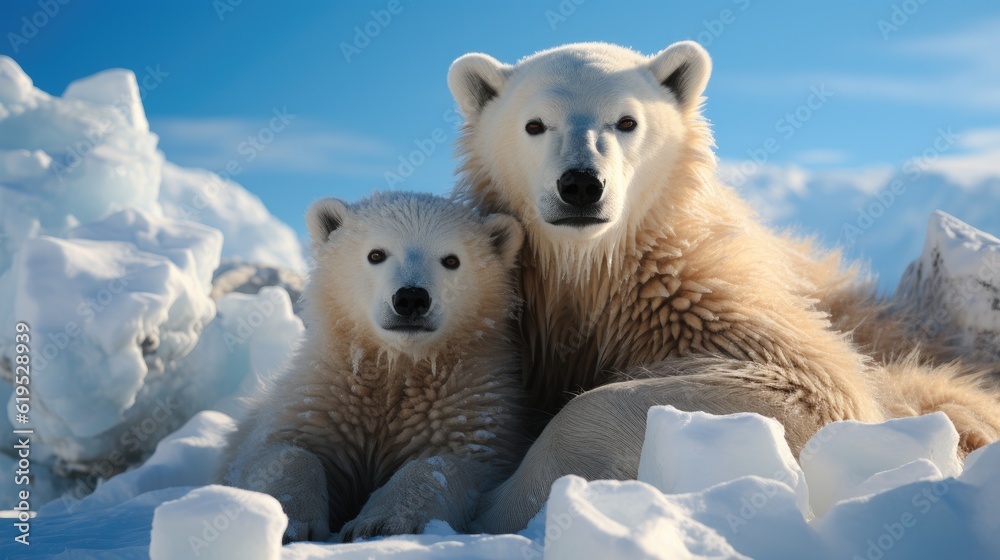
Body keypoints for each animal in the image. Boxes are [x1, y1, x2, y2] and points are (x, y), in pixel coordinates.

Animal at [220, 192, 528, 544]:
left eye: (452, 260)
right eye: (376, 254)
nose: (411, 299)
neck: (397, 368)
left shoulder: (469, 408)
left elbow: (453, 462)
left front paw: (379, 523)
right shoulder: (324, 395)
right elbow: (281, 449)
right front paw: (287, 520)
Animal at [450, 41, 1000, 532]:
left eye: (626, 121)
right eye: (535, 124)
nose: (581, 184)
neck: (592, 274)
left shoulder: (704, 298)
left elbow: (814, 387)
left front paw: (501, 508)